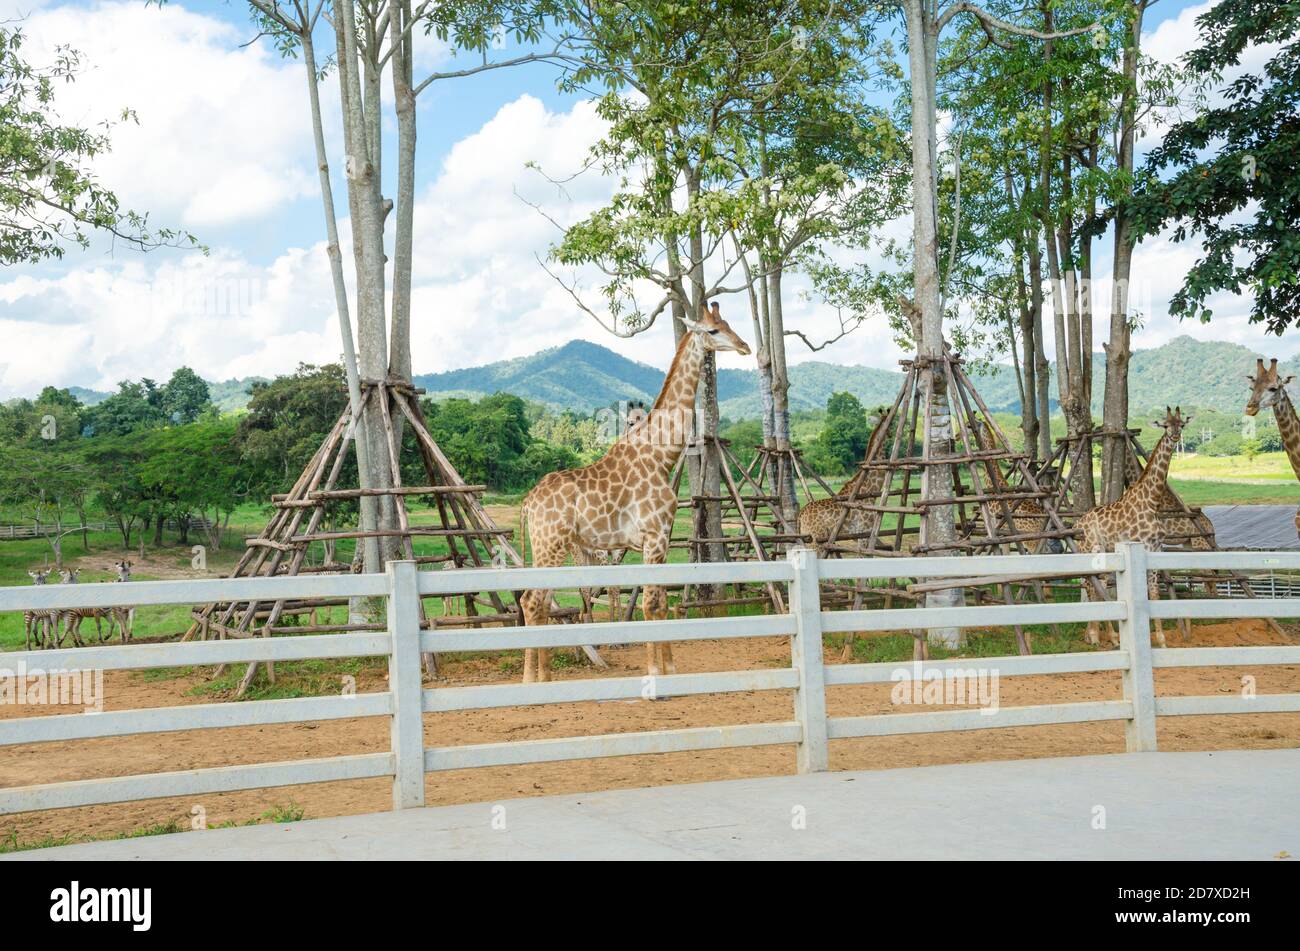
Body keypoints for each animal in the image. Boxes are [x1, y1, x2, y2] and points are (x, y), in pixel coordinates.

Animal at [517, 301, 754, 680]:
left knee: (538, 602)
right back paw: (532, 681)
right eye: (713, 330)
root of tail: (527, 503)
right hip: (550, 546)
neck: (662, 455)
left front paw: (670, 668)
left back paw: (543, 678)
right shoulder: (654, 537)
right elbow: (650, 603)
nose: (745, 346)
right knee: (532, 600)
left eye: (729, 323)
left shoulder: (662, 539)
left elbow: (661, 602)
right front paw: (655, 672)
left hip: (551, 549)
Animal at [1071, 405, 1190, 649]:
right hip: (1092, 550)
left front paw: (1162, 641)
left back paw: (1101, 635)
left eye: (1181, 424)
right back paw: (1097, 636)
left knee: (1098, 585)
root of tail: (1078, 524)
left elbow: (1154, 593)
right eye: (1165, 424)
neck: (1152, 501)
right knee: (1091, 584)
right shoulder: (1140, 545)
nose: (1175, 436)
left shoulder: (1156, 548)